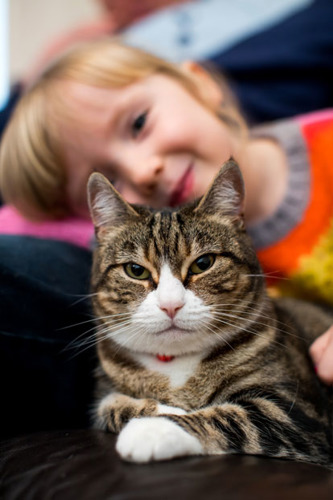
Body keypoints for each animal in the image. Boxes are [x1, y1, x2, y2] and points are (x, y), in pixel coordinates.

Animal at [87, 159, 330, 464]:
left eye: (203, 263)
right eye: (135, 270)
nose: (170, 304)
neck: (175, 366)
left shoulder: (300, 412)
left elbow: (233, 418)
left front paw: (152, 429)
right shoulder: (105, 389)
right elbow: (110, 404)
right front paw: (162, 410)